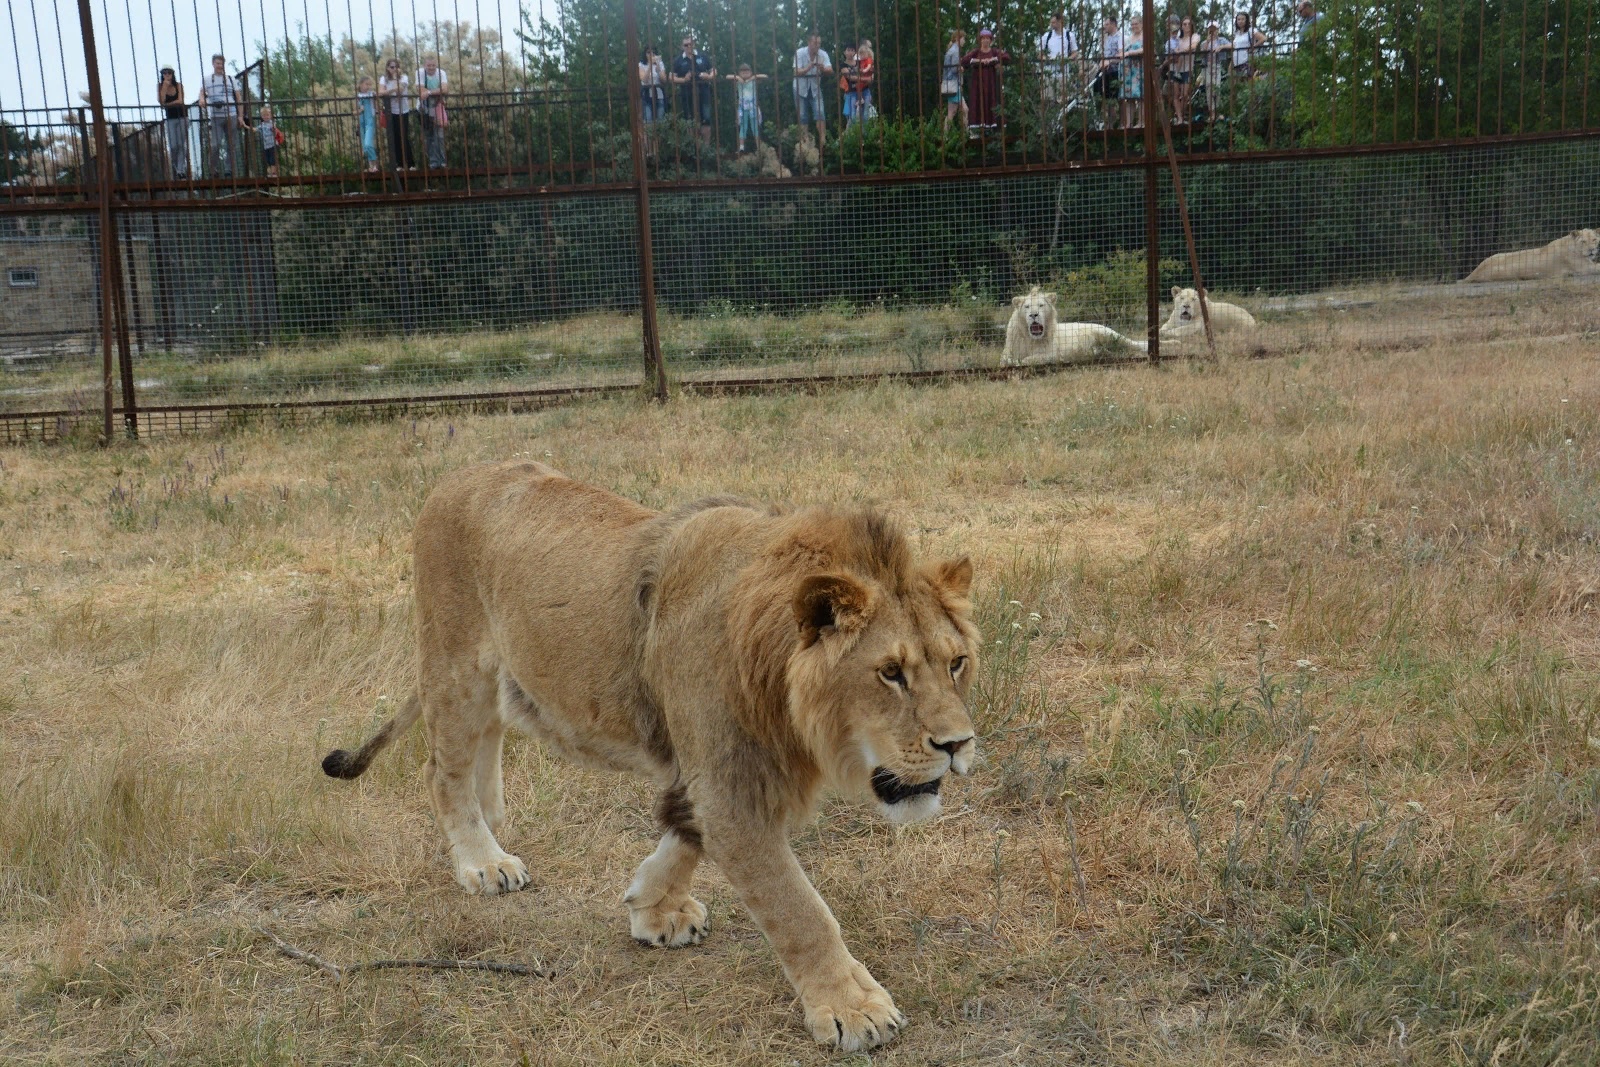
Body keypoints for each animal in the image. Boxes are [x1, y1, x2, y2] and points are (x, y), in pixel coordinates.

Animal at [318, 463, 979, 1055]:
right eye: (890, 673)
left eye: (956, 663)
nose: (958, 745)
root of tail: (453, 478)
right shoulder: (732, 790)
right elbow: (800, 911)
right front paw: (852, 1009)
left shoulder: (724, 775)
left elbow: (684, 834)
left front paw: (652, 907)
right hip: (453, 665)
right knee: (441, 770)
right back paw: (482, 860)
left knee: (489, 740)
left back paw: (491, 824)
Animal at [998, 287, 1152, 367]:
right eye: (1027, 307)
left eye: (1041, 305)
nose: (1033, 315)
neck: (1031, 339)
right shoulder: (1008, 351)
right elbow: (1004, 360)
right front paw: (1011, 362)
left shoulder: (1053, 354)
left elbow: (1030, 359)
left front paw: (1018, 362)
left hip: (1109, 334)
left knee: (1133, 345)